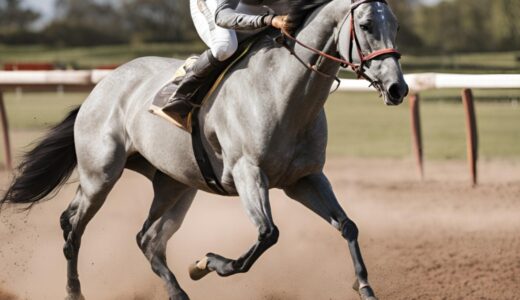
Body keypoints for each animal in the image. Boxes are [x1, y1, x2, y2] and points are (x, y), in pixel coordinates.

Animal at [0, 0, 408, 300]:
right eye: (367, 25)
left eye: (396, 27)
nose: (397, 88)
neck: (283, 91)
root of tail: (101, 87)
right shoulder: (248, 173)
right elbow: (267, 235)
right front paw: (207, 262)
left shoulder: (304, 178)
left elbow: (347, 225)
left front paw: (365, 286)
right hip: (100, 174)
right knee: (72, 225)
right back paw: (74, 291)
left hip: (175, 183)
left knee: (147, 238)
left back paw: (177, 292)